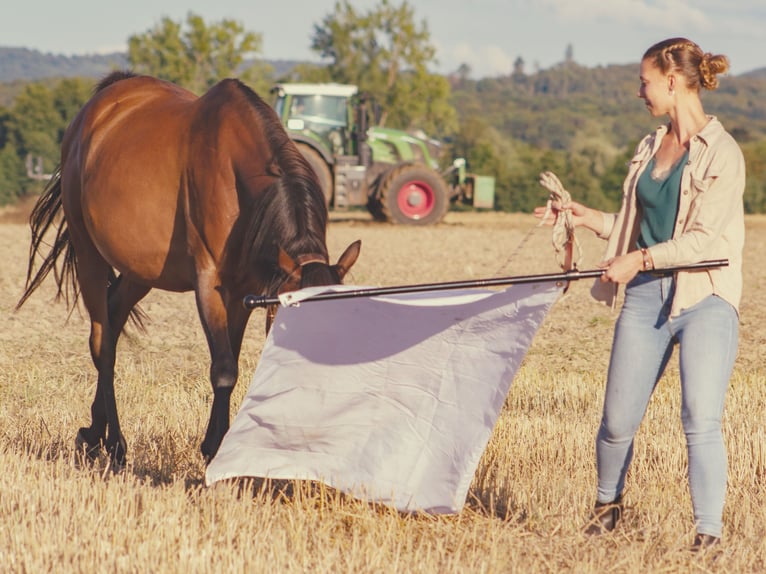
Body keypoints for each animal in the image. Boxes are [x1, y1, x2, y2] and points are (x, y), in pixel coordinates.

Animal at [17, 71, 364, 468]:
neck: (235, 170)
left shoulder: (244, 291)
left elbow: (232, 361)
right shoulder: (209, 282)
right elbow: (224, 369)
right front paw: (214, 449)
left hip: (140, 270)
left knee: (114, 318)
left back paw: (94, 433)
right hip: (89, 252)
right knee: (102, 342)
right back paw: (114, 443)